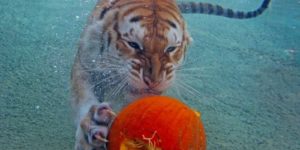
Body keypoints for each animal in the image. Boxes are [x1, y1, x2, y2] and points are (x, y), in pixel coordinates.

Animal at [71, 0, 272, 149]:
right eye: (133, 44)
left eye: (171, 48)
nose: (153, 81)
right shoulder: (85, 66)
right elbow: (84, 99)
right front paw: (93, 129)